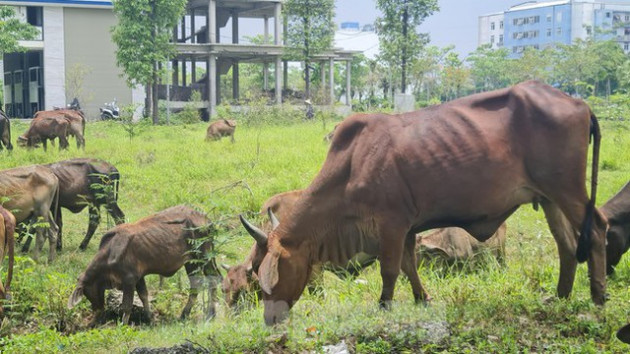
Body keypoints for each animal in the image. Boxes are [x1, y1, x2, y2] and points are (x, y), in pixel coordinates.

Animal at [67, 206, 222, 324]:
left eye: (86, 292)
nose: (97, 310)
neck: (109, 254)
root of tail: (207, 219)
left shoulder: (129, 279)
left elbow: (127, 305)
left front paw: (123, 324)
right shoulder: (139, 277)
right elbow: (144, 296)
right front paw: (150, 319)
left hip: (204, 256)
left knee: (212, 280)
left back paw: (210, 314)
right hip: (191, 262)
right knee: (197, 285)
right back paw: (186, 314)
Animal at [241, 81, 608, 326]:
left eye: (266, 271)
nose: (270, 320)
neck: (352, 164)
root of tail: (578, 103)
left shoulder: (390, 223)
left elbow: (390, 269)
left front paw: (384, 306)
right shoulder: (407, 227)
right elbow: (408, 266)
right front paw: (422, 298)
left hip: (568, 190)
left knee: (597, 230)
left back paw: (598, 297)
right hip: (548, 198)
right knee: (566, 245)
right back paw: (560, 296)